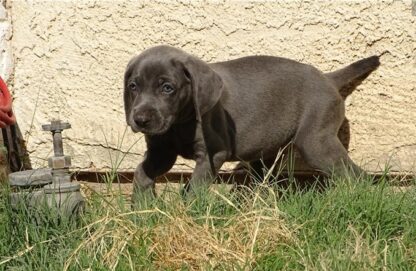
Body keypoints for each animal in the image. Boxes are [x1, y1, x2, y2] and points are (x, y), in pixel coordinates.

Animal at [123, 44, 380, 198]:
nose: (140, 119)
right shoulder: (161, 152)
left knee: (355, 175)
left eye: (167, 88)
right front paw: (143, 204)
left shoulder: (212, 154)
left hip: (316, 143)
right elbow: (141, 171)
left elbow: (194, 187)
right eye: (133, 86)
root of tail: (328, 78)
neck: (178, 125)